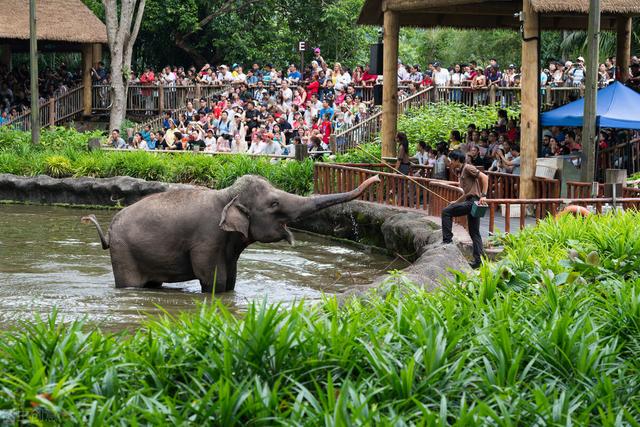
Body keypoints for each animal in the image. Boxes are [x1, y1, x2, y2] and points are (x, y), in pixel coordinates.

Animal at [81, 175, 380, 294]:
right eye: (274, 204)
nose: (376, 179)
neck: (226, 194)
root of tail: (109, 229)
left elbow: (231, 280)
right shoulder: (207, 239)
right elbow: (214, 279)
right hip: (124, 253)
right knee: (131, 285)